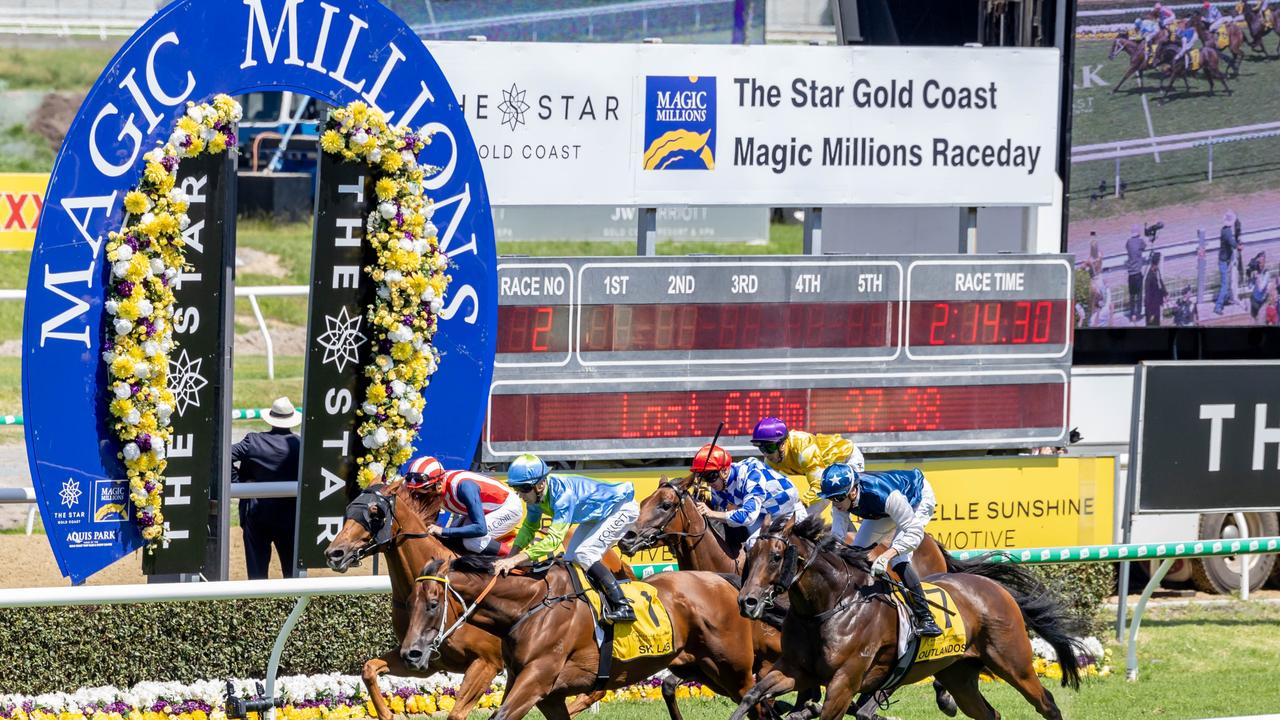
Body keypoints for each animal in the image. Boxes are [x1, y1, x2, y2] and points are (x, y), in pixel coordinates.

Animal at [399, 558, 778, 720]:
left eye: (433, 604)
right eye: (408, 602)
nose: (410, 654)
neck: (533, 607)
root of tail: (724, 582)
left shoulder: (537, 679)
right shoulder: (543, 691)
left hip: (732, 670)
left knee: (760, 703)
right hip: (702, 670)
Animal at [737, 515, 1085, 717]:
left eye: (776, 556)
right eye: (749, 555)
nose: (747, 601)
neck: (828, 607)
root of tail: (996, 589)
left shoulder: (844, 683)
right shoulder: (795, 670)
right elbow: (751, 695)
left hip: (1014, 663)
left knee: (1046, 703)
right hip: (958, 674)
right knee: (989, 714)